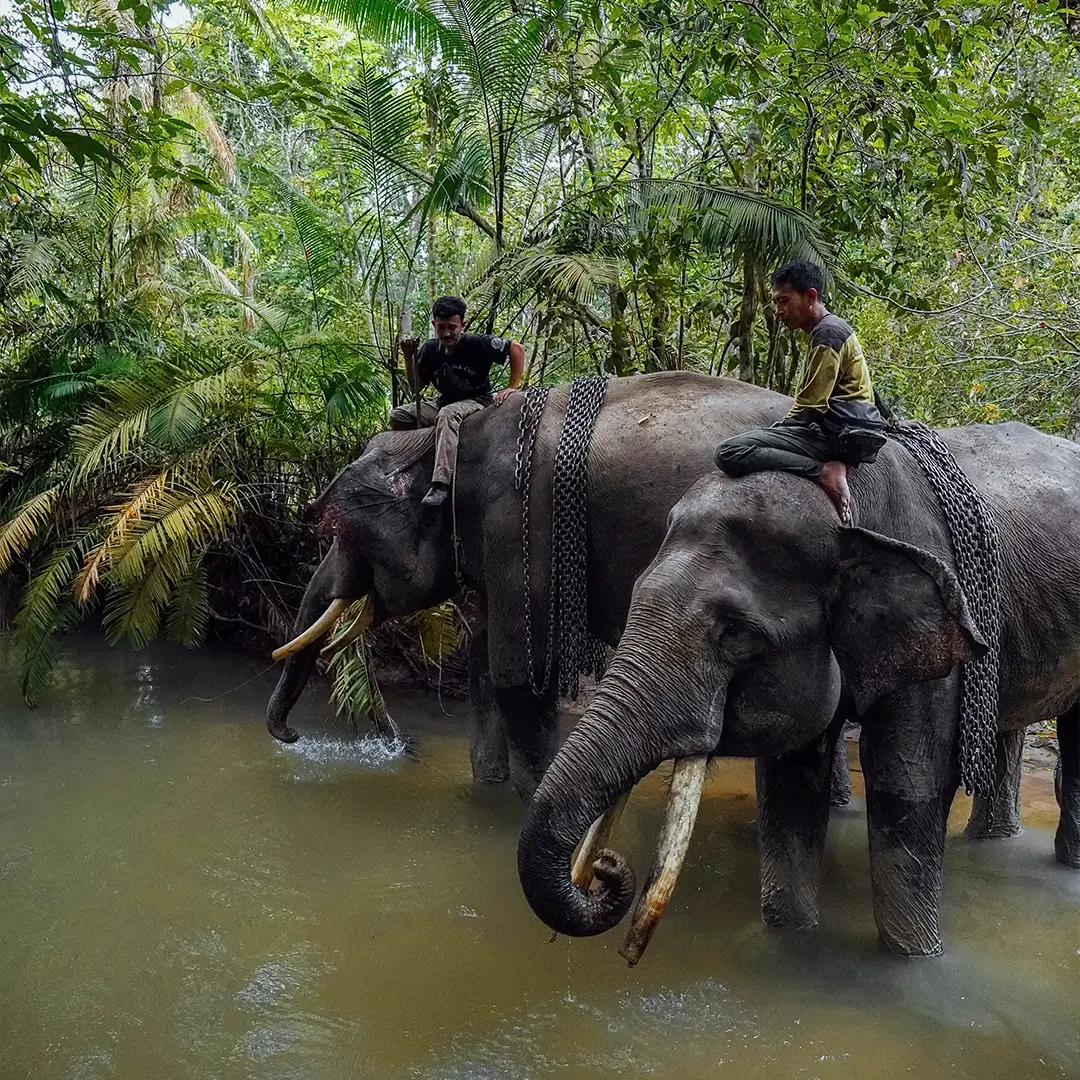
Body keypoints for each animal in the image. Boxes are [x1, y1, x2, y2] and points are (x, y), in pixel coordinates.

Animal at [516, 420, 1080, 960]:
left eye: (735, 632)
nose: (606, 869)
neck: (852, 511)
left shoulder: (944, 640)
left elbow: (907, 779)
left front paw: (914, 961)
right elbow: (790, 785)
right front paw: (789, 940)